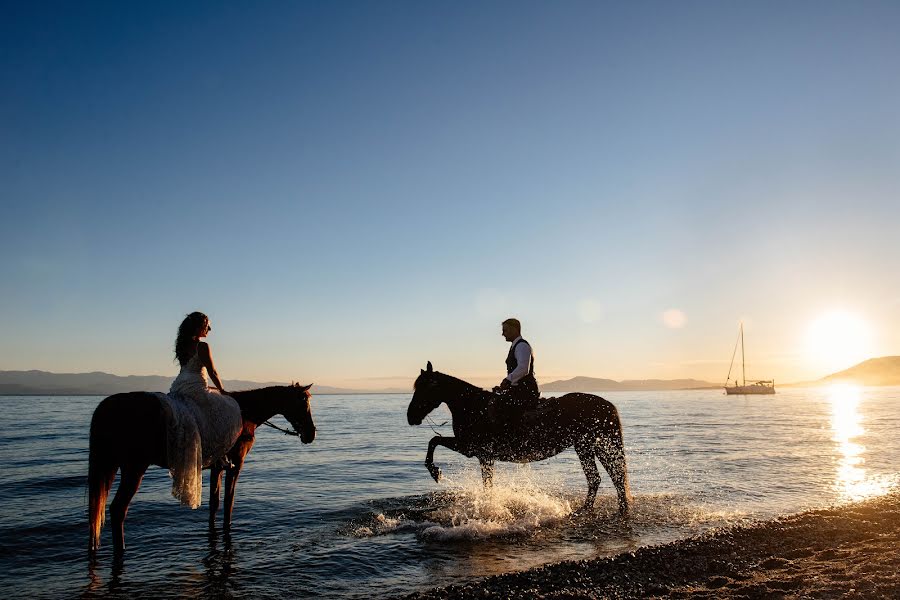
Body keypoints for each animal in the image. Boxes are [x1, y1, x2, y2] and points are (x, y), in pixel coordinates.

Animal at [88, 384, 312, 552]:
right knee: (118, 509)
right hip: (134, 467)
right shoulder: (235, 466)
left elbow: (214, 503)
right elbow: (228, 503)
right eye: (303, 402)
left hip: (116, 465)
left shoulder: (217, 468)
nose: (311, 433)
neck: (245, 415)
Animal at [410, 360, 632, 516]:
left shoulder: (474, 450)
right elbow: (435, 441)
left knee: (608, 477)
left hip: (592, 445)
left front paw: (435, 472)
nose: (410, 416)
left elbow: (435, 441)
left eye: (425, 388)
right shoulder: (478, 453)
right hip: (590, 447)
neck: (473, 407)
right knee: (606, 477)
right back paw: (605, 509)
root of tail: (607, 405)